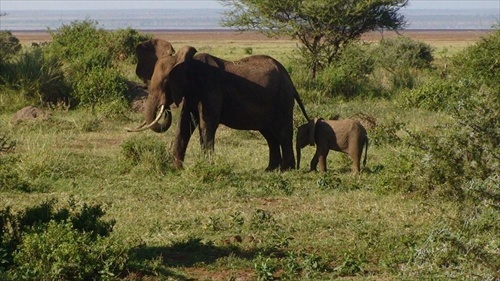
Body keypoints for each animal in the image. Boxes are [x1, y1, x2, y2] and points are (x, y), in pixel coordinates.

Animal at [129, 41, 308, 171]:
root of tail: (290, 80)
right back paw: (270, 169)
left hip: (282, 99)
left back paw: (287, 169)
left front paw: (207, 165)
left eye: (166, 82)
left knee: (283, 131)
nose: (165, 109)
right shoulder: (193, 93)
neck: (188, 63)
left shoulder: (210, 87)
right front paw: (177, 169)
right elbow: (185, 124)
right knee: (269, 134)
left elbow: (206, 124)